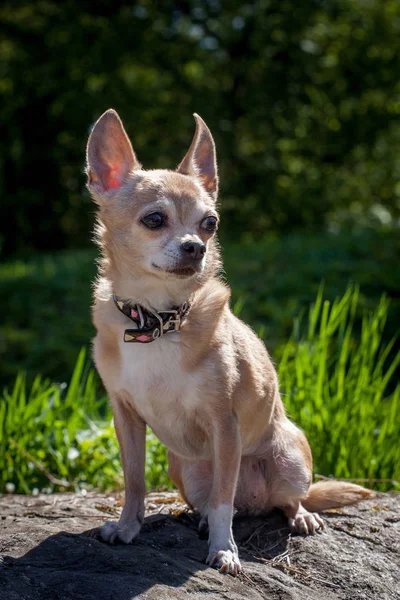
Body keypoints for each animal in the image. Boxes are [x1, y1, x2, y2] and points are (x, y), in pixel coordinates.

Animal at [86, 110, 372, 576]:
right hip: (184, 469)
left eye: (210, 224)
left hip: (289, 460)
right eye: (154, 220)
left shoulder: (225, 426)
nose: (195, 247)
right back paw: (203, 519)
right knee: (221, 502)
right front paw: (127, 529)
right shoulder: (125, 417)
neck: (160, 318)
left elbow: (224, 500)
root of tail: (257, 501)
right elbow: (135, 482)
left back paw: (298, 516)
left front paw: (224, 550)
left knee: (276, 499)